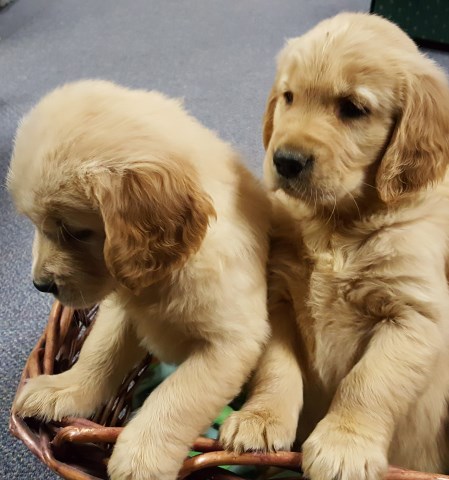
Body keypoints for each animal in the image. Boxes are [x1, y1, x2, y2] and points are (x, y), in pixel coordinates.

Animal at [8, 79, 270, 480]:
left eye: (74, 231)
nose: (41, 285)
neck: (167, 273)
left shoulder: (230, 343)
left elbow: (176, 395)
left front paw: (141, 457)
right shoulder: (120, 311)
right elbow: (98, 353)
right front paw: (64, 389)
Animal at [220, 11, 449, 480]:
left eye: (353, 109)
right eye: (289, 97)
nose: (285, 161)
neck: (337, 224)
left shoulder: (414, 316)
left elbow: (370, 382)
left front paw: (344, 445)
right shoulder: (278, 296)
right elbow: (276, 368)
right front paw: (259, 419)